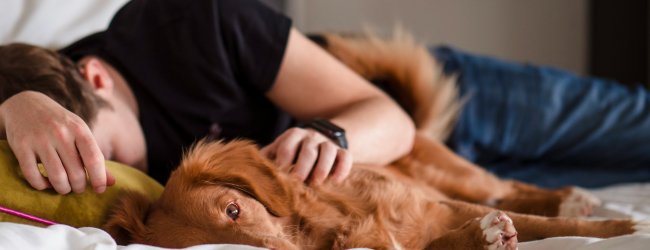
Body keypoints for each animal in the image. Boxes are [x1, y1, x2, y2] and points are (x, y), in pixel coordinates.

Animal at [102, 33, 648, 250]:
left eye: (234, 209)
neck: (328, 225)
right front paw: (483, 238)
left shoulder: (439, 204)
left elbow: (550, 225)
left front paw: (625, 227)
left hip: (457, 175)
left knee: (510, 187)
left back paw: (572, 197)